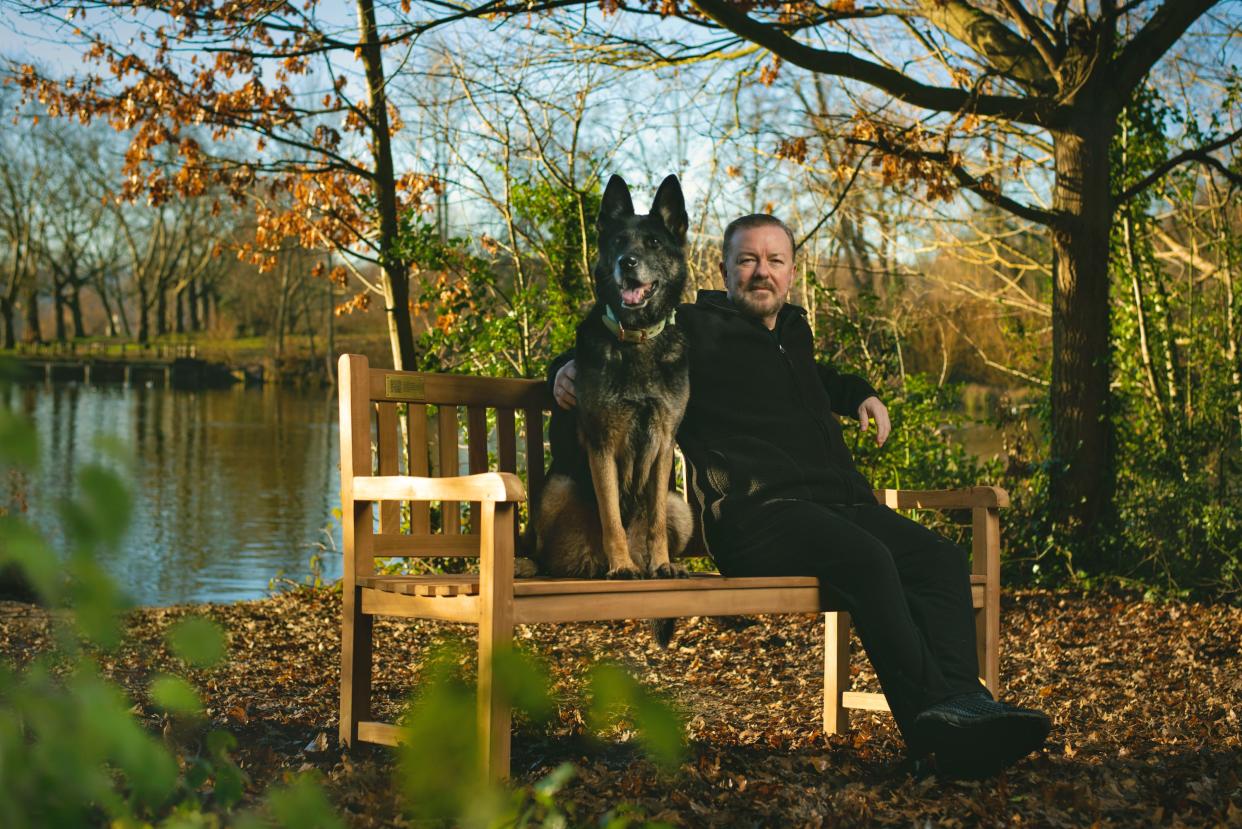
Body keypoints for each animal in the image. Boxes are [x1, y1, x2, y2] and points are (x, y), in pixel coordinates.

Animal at [529, 176, 695, 589]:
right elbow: (611, 517)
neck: (636, 339)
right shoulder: (602, 445)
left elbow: (654, 520)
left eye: (653, 243)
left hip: (680, 506)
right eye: (619, 242)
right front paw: (621, 565)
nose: (627, 263)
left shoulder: (664, 445)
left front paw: (662, 563)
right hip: (558, 484)